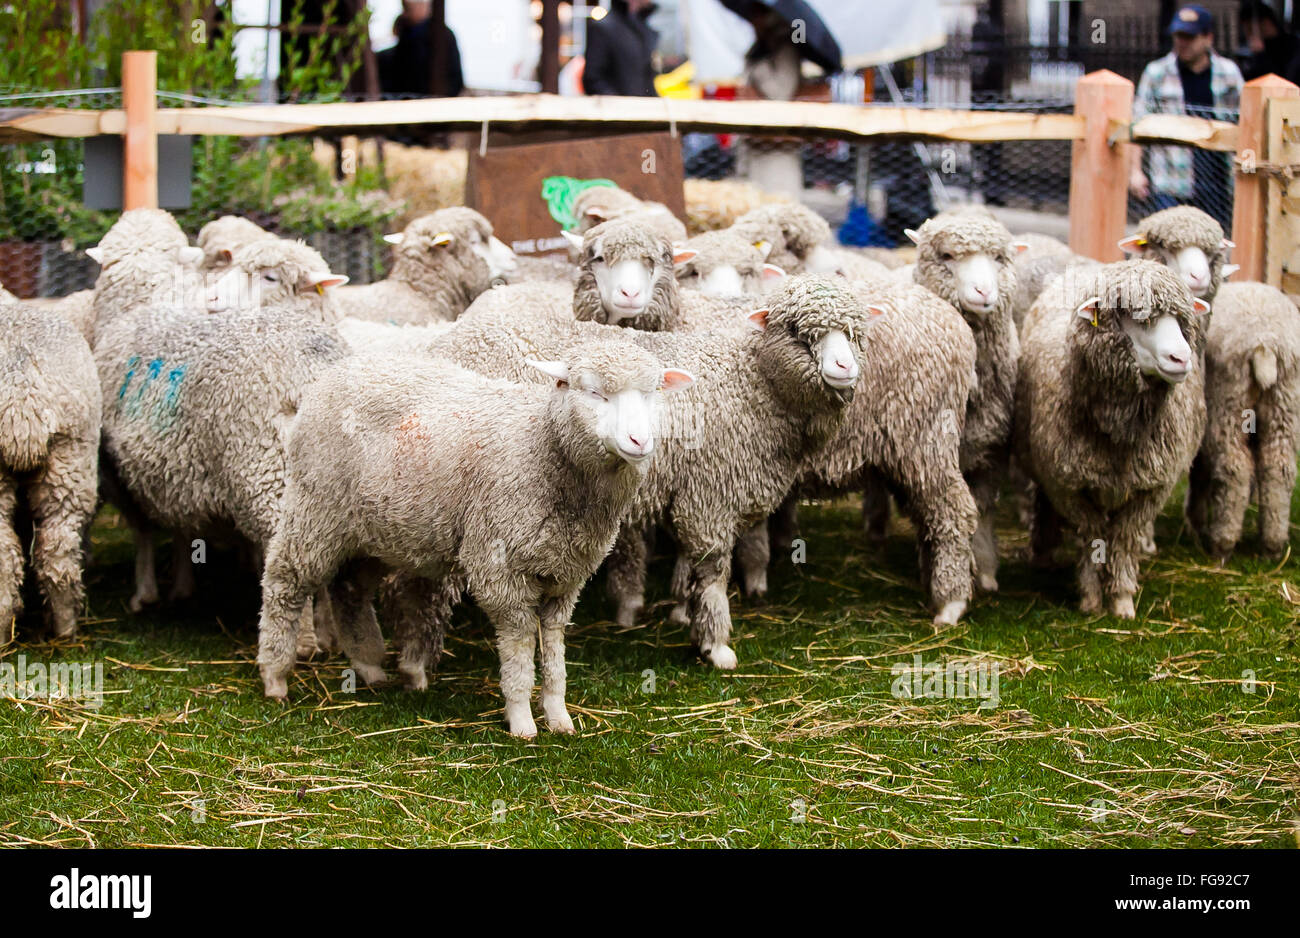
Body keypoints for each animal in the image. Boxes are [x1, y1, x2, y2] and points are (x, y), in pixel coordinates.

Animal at [257, 340, 696, 732]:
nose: (640, 441)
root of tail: (335, 373)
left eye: (653, 393)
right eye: (593, 392)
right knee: (284, 581)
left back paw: (368, 666)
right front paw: (522, 721)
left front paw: (559, 716)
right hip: (315, 507)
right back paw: (275, 675)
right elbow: (519, 647)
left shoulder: (566, 575)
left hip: (373, 530)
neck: (543, 448)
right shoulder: (500, 568)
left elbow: (554, 647)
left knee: (349, 589)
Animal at [1013, 259, 1206, 618]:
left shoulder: (1150, 489)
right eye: (1139, 317)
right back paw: (1043, 553)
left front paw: (1122, 600)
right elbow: (1093, 537)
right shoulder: (1069, 487)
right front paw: (1091, 599)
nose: (1181, 358)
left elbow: (1123, 541)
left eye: (1181, 319)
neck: (1120, 434)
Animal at [1185, 279, 1300, 556]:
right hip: (1285, 404)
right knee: (1278, 468)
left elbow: (1199, 472)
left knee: (1234, 467)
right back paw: (1272, 546)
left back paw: (1222, 543)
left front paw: (1196, 521)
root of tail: (1265, 343)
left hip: (1228, 402)